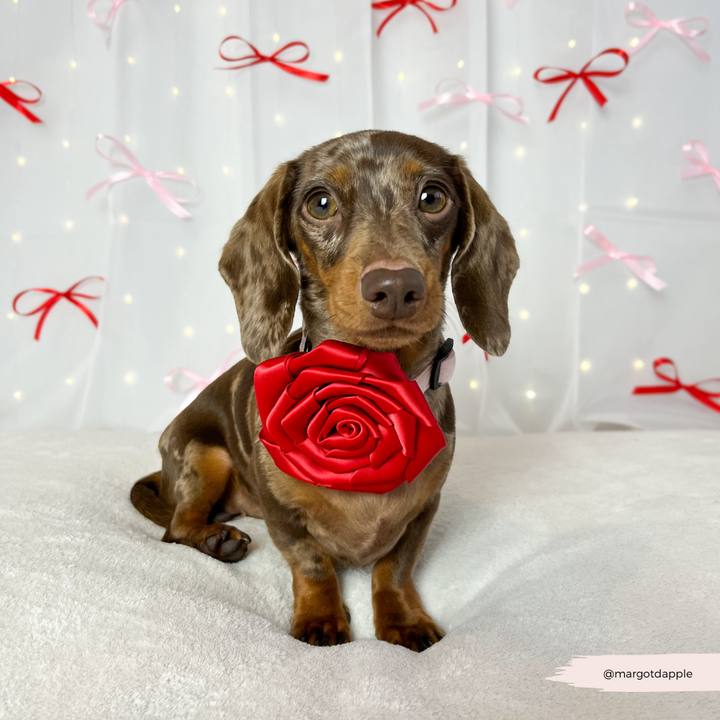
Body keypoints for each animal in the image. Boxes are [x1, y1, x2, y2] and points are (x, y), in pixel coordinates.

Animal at [131, 129, 516, 652]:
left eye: (433, 198)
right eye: (320, 203)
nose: (396, 287)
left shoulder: (425, 508)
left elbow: (395, 566)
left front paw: (402, 619)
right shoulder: (281, 511)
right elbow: (311, 561)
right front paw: (322, 617)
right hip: (202, 455)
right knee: (176, 528)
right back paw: (216, 539)